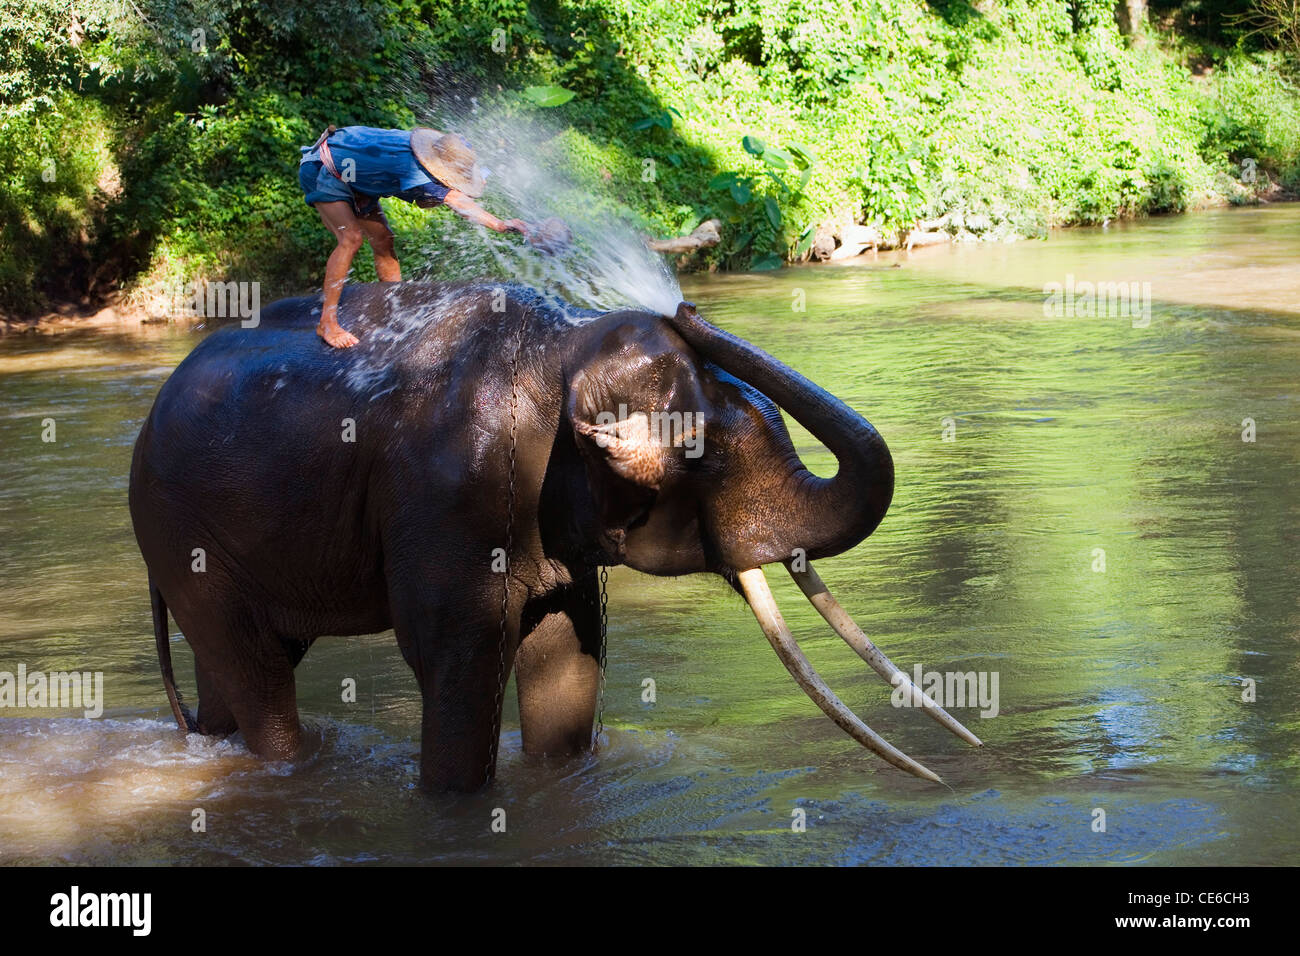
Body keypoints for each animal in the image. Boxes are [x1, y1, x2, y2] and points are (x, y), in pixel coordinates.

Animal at [129, 281, 981, 792]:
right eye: (701, 451)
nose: (687, 307)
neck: (563, 346)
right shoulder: (449, 497)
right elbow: (458, 663)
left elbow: (569, 658)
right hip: (180, 535)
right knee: (256, 671)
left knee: (232, 675)